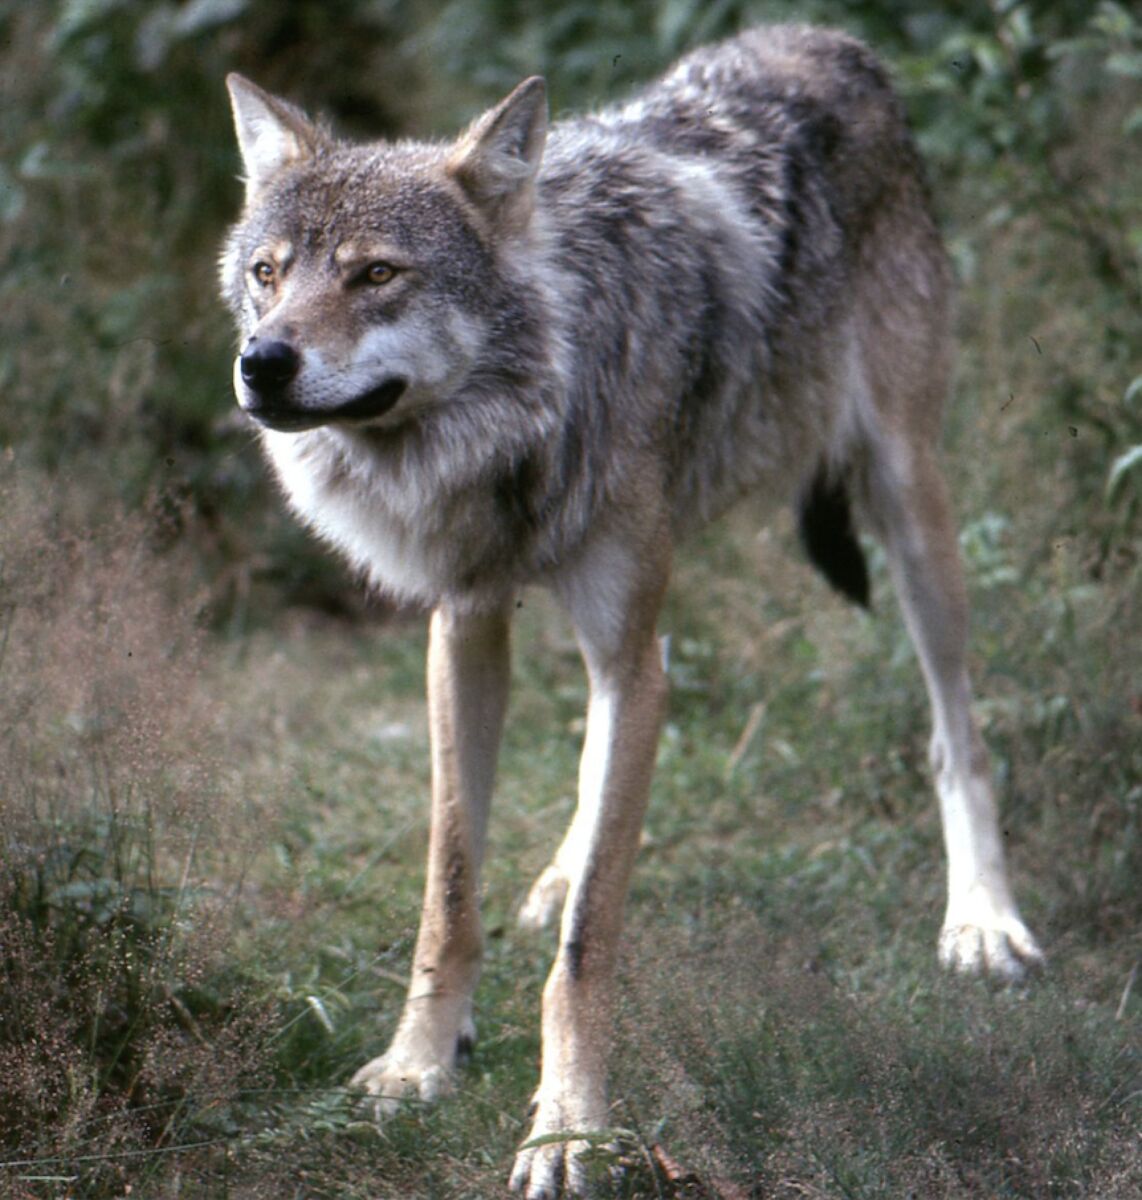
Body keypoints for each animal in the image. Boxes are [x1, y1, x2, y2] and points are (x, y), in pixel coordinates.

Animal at [221, 25, 1044, 1196]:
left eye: (377, 274)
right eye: (269, 273)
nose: (263, 362)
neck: (522, 420)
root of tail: (825, 38)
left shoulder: (609, 640)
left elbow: (586, 943)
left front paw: (567, 1130)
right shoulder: (463, 626)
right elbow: (449, 888)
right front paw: (417, 1061)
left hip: (908, 505)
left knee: (954, 731)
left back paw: (981, 922)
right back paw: (558, 868)